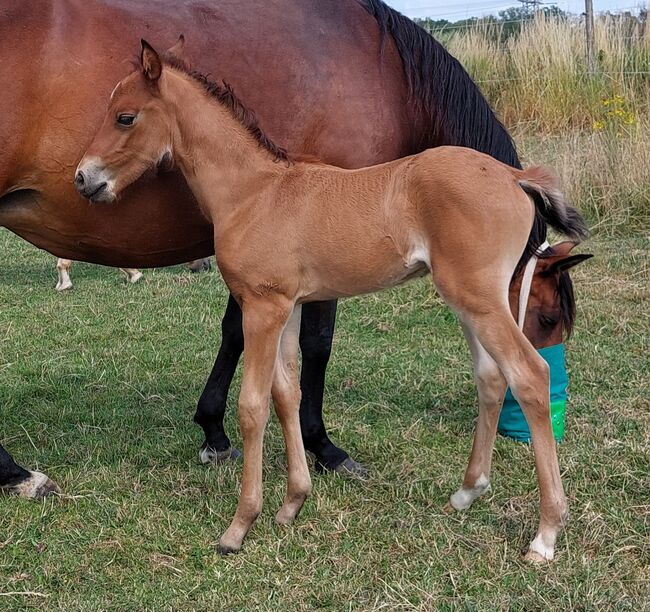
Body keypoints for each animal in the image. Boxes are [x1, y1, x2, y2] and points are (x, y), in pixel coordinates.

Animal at [76, 40, 588, 560]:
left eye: (124, 117)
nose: (83, 178)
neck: (254, 192)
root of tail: (513, 175)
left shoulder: (263, 307)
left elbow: (253, 404)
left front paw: (239, 526)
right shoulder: (288, 306)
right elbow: (287, 393)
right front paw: (292, 505)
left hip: (479, 299)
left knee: (529, 375)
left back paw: (545, 534)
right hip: (470, 301)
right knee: (490, 377)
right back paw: (467, 492)